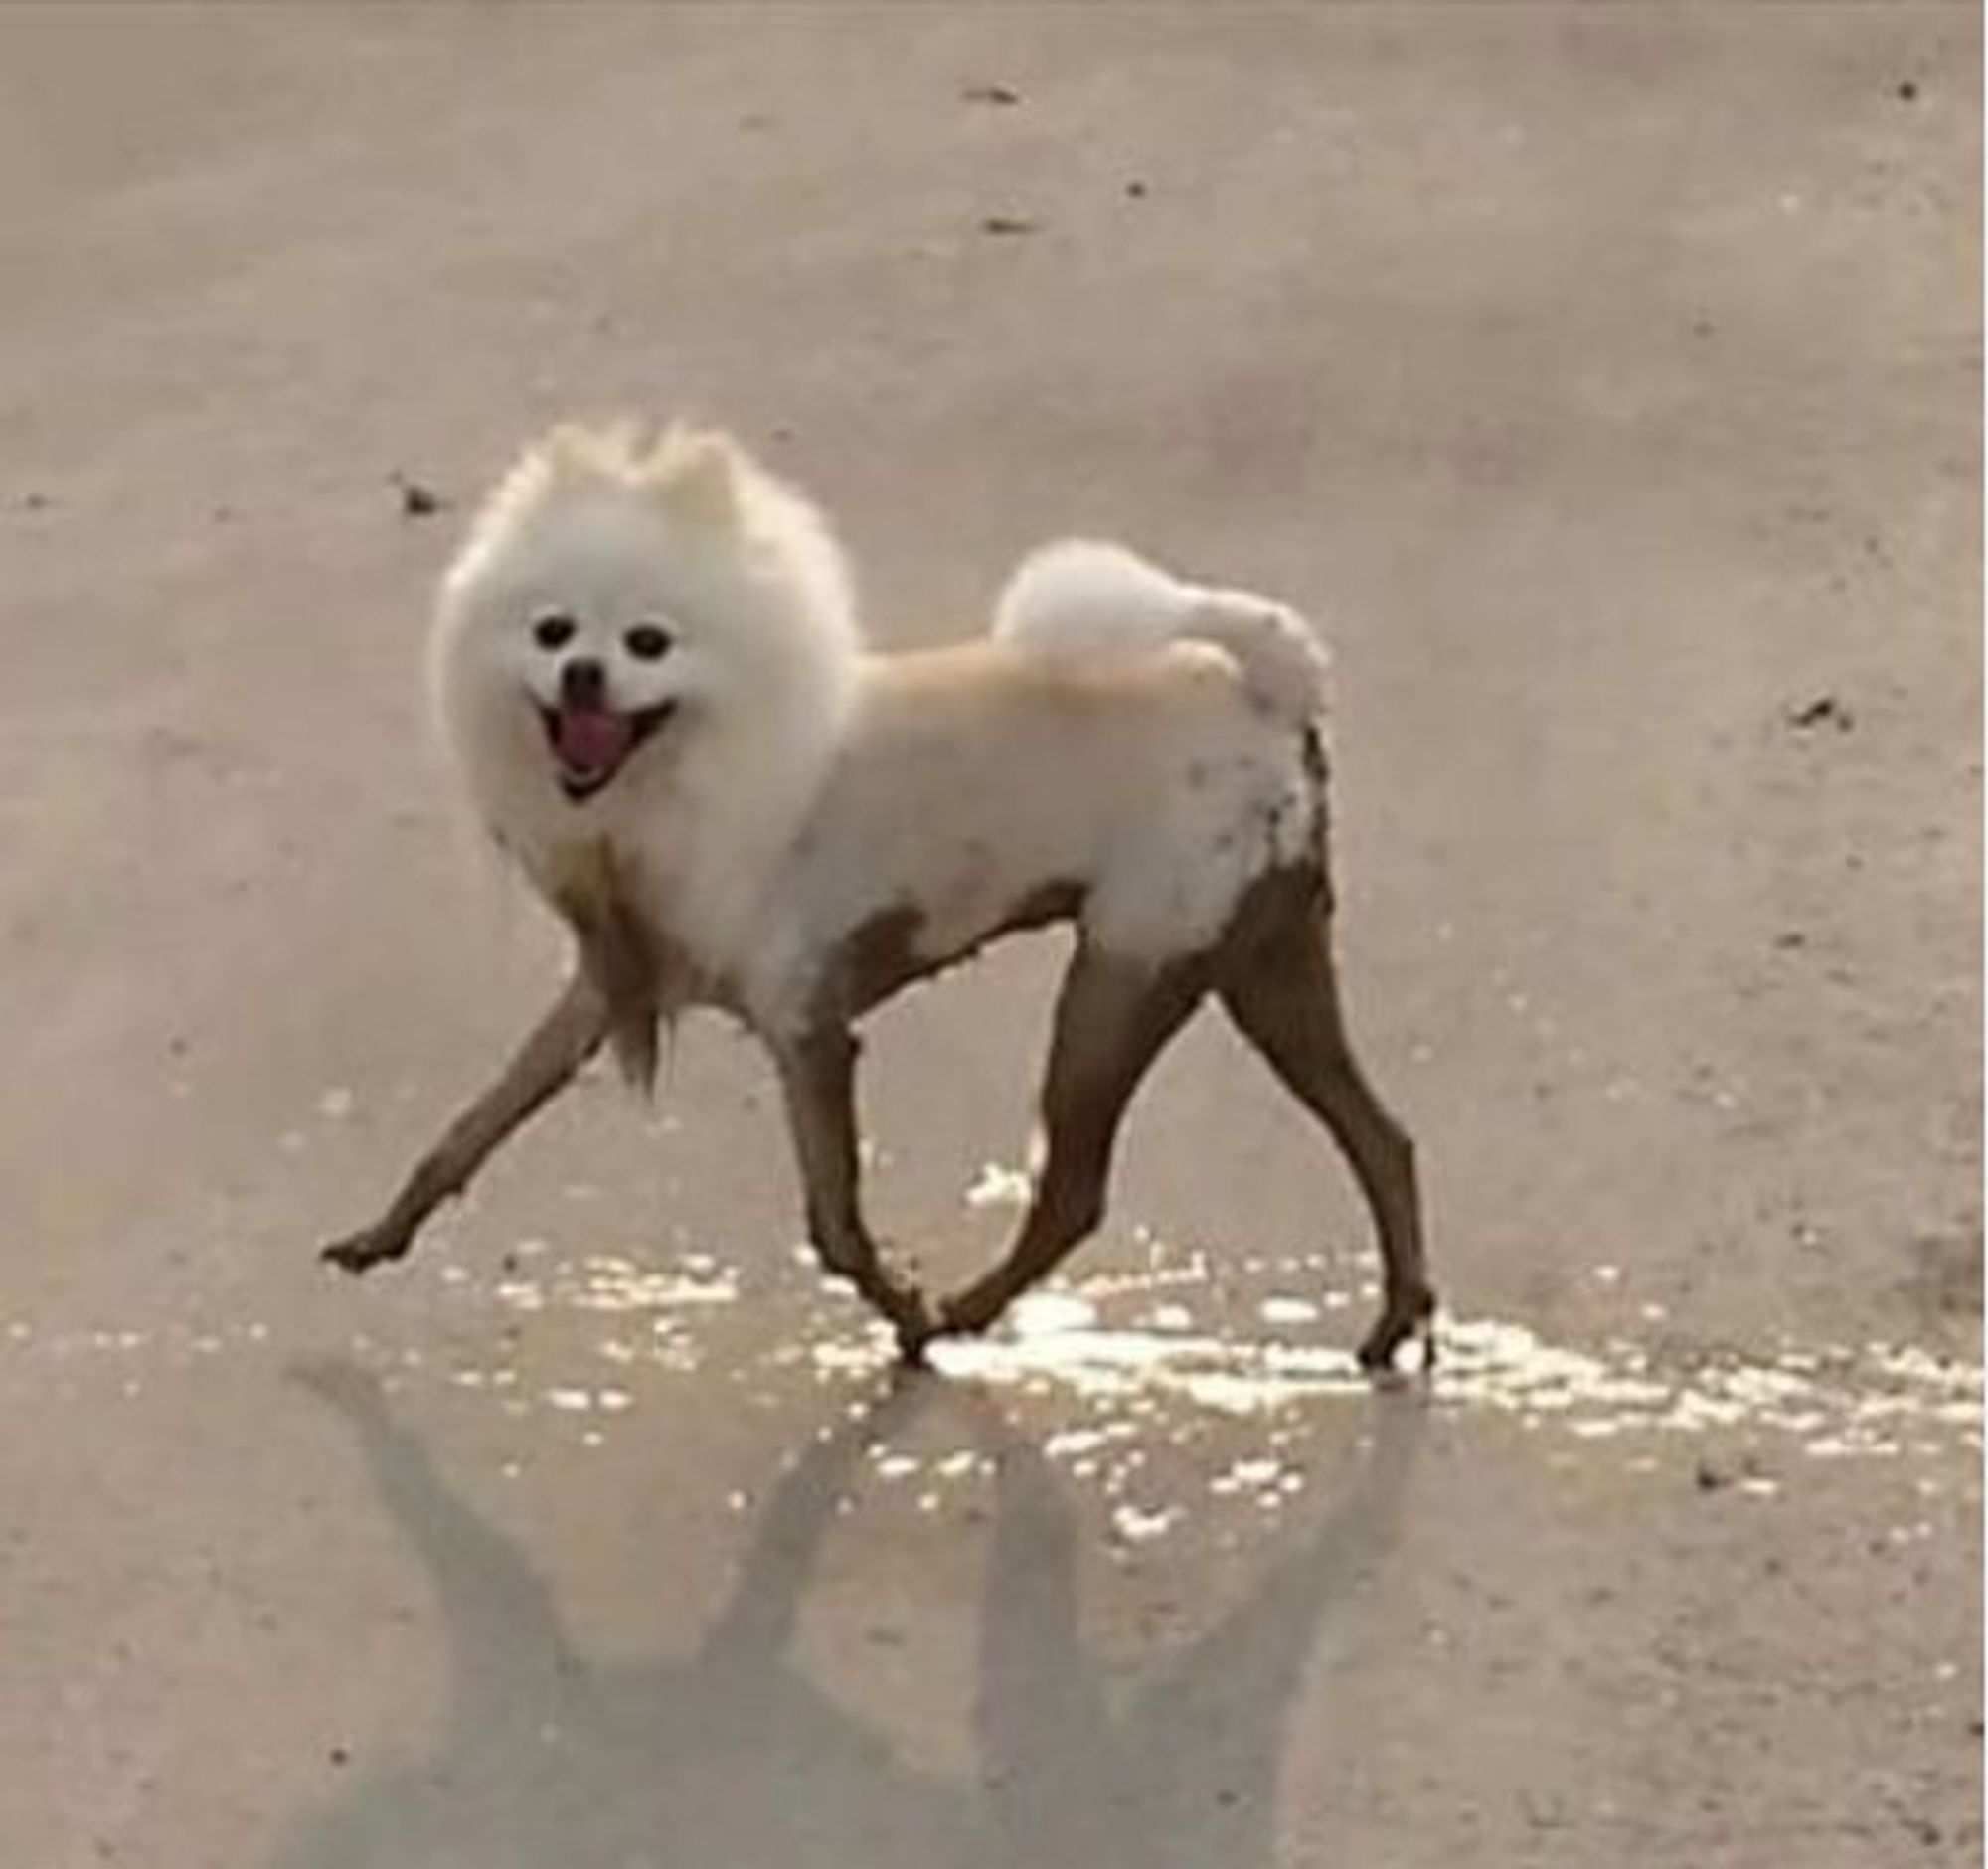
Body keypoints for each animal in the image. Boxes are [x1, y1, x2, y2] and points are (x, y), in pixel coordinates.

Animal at [322, 424, 1431, 1368]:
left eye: (649, 643)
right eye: (552, 631)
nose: (583, 675)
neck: (683, 773)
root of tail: (1271, 689)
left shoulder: (808, 1032)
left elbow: (835, 1223)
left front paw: (898, 1303)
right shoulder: (605, 989)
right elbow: (476, 1121)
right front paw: (384, 1232)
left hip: (1127, 971)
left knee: (1072, 1192)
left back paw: (956, 1316)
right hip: (1262, 963)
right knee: (1382, 1137)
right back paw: (1395, 1318)